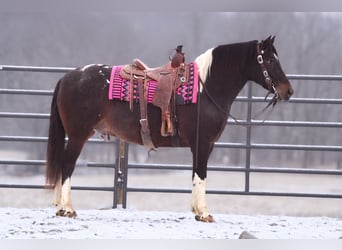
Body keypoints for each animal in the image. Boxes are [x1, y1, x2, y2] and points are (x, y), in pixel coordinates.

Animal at [44, 35, 292, 223]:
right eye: (270, 60)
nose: (288, 91)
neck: (206, 88)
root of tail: (68, 77)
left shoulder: (203, 146)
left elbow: (196, 175)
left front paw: (196, 211)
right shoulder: (202, 144)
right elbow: (201, 174)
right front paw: (204, 213)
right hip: (78, 135)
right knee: (67, 166)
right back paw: (67, 209)